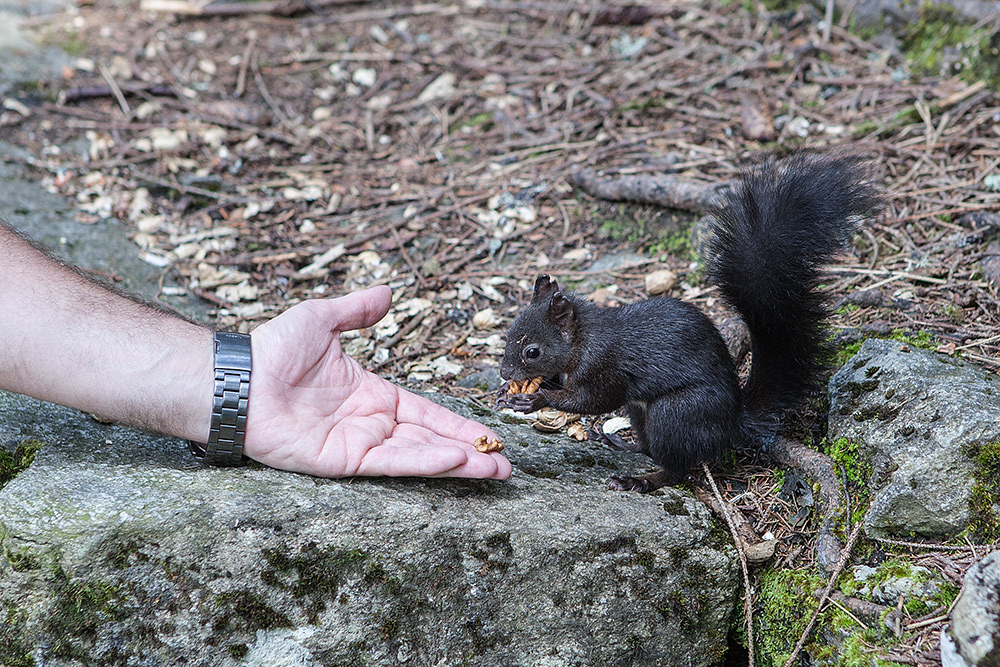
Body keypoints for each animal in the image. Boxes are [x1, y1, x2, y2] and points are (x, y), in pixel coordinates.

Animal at [496, 154, 880, 494]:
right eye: (508, 335)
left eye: (532, 351)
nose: (504, 373)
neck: (582, 339)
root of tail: (733, 421)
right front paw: (510, 393)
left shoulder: (605, 366)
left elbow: (592, 400)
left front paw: (536, 399)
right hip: (641, 412)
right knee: (649, 447)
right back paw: (622, 444)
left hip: (676, 413)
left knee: (676, 467)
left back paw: (641, 480)